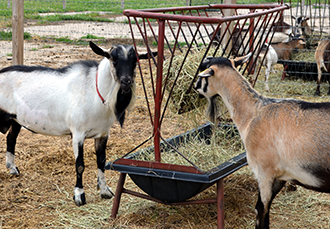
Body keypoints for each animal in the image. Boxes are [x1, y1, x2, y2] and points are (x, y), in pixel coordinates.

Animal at [0, 41, 157, 208]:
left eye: (135, 62)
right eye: (113, 60)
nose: (126, 81)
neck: (94, 92)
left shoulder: (103, 133)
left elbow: (101, 161)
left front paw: (105, 191)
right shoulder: (77, 134)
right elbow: (80, 165)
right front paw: (79, 195)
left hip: (16, 119)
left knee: (11, 139)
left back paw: (13, 169)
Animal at [195, 52, 330, 229]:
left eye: (202, 72)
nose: (195, 87)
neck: (254, 113)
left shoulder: (264, 171)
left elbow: (261, 211)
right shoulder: (281, 176)